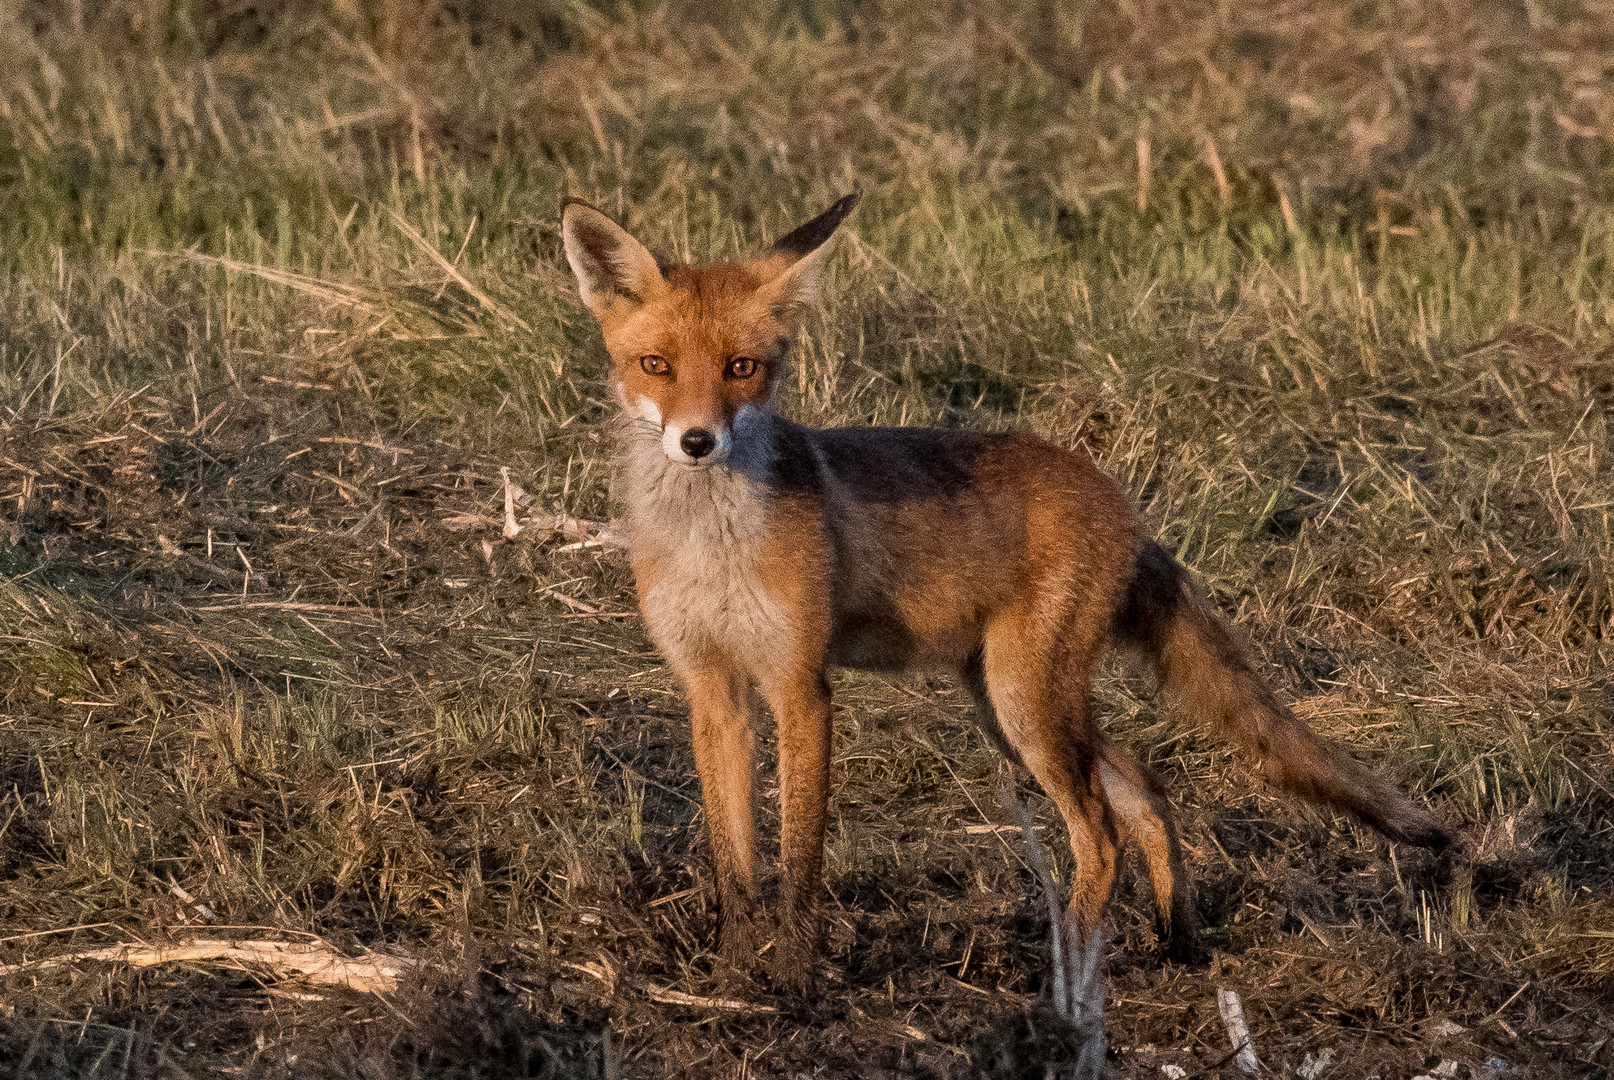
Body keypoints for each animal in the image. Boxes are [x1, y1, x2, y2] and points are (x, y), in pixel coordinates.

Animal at [558, 191, 1452, 1000]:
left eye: (741, 369)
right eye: (657, 366)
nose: (697, 441)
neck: (711, 546)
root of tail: (1123, 506)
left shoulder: (800, 685)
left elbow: (800, 859)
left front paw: (795, 984)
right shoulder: (712, 688)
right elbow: (733, 863)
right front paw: (733, 977)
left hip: (1026, 703)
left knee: (1101, 834)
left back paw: (1068, 976)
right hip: (1009, 703)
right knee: (1145, 792)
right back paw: (1178, 942)